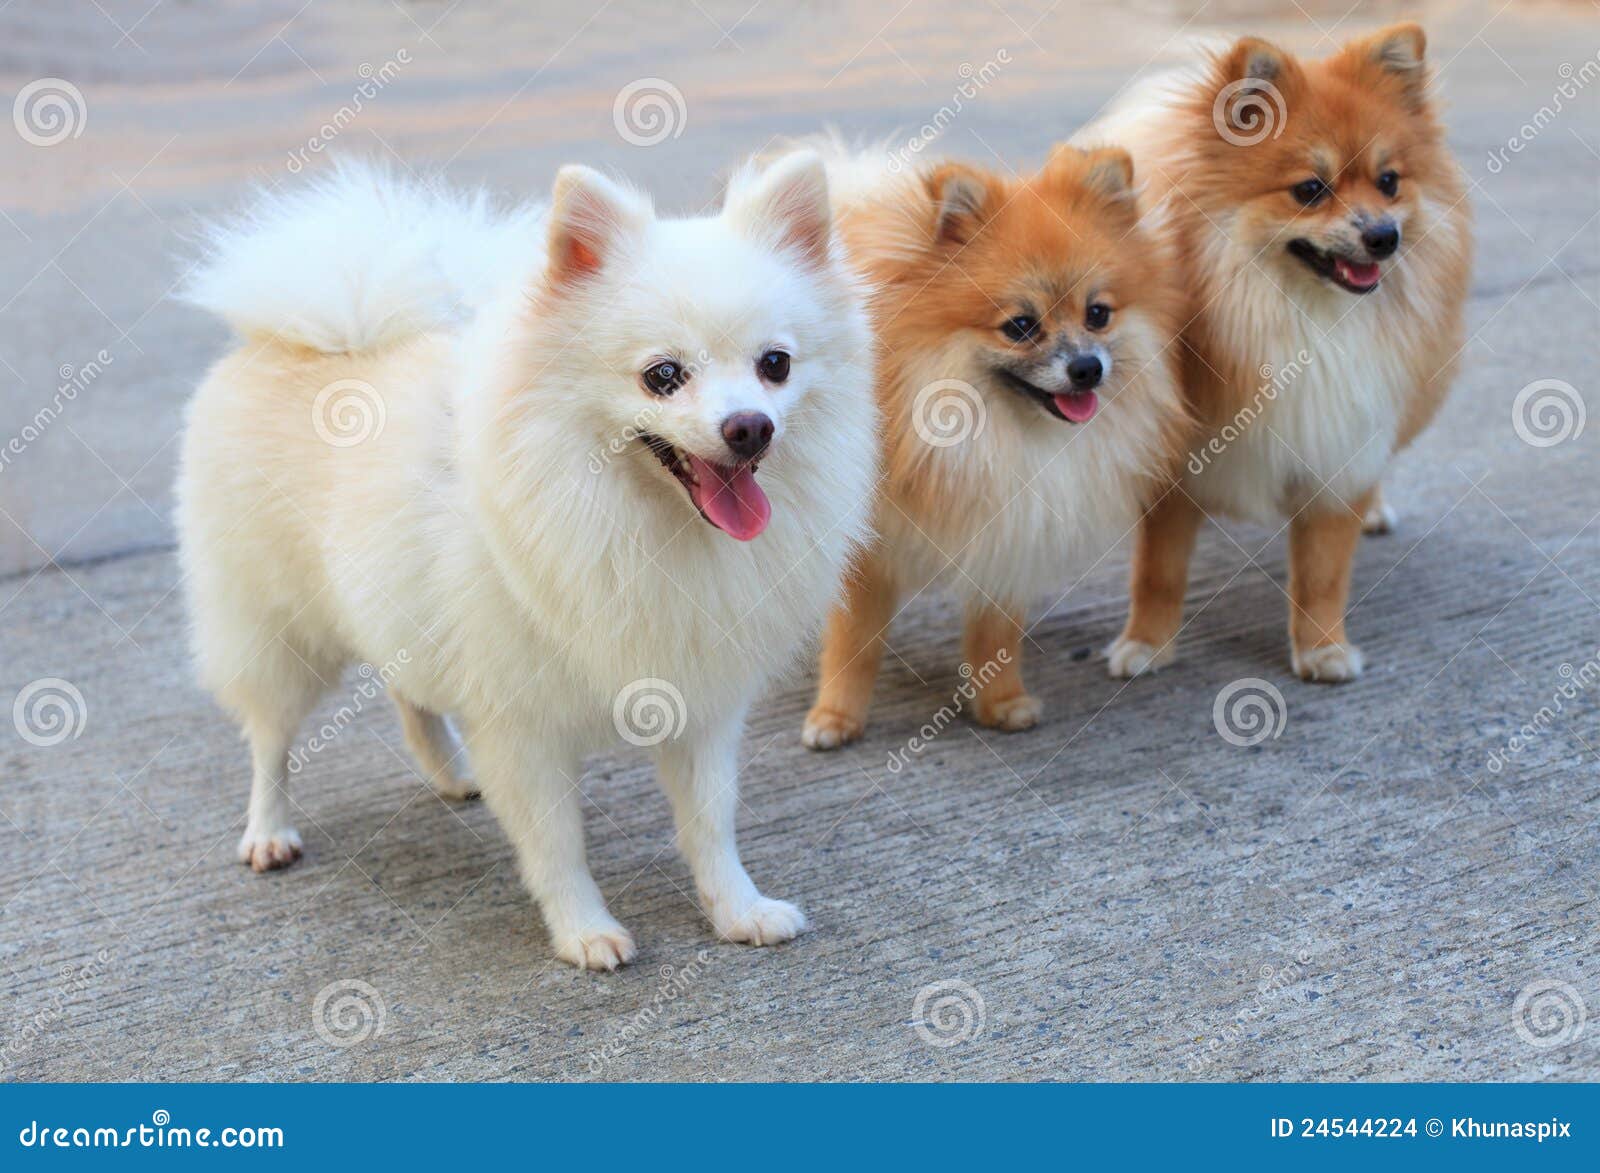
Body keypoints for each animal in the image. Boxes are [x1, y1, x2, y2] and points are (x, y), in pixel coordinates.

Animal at [178, 155, 876, 972]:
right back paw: (268, 831)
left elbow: (710, 822)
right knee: (269, 739)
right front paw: (582, 931)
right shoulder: (524, 726)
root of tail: (328, 335)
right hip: (276, 631)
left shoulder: (698, 699)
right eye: (662, 375)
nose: (750, 427)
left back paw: (449, 773)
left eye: (776, 365)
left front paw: (737, 909)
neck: (640, 522)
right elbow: (556, 843)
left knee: (408, 694)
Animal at [800, 141, 1190, 745]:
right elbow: (853, 643)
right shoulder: (867, 548)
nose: (1087, 368)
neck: (986, 435)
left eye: (1098, 314)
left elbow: (996, 635)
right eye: (1021, 326)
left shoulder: (1008, 525)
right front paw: (836, 717)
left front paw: (1001, 702)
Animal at [1088, 22, 1472, 681]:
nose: (1384, 235)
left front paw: (1322, 649)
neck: (1302, 320)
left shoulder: (1338, 442)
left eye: (1389, 182)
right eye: (1310, 190)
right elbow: (1158, 571)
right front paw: (1146, 644)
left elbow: (1323, 572)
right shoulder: (1177, 467)